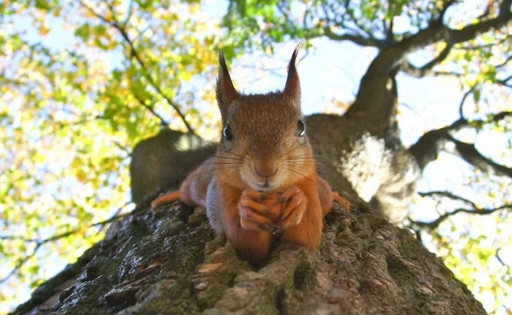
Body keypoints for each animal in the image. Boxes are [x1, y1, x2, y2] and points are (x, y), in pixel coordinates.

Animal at [150, 47, 350, 262]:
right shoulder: (225, 195)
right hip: (196, 186)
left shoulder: (308, 185)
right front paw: (247, 208)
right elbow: (246, 244)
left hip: (322, 191)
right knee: (184, 191)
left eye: (301, 127)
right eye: (227, 132)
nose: (266, 170)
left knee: (327, 194)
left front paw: (297, 200)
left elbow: (307, 234)